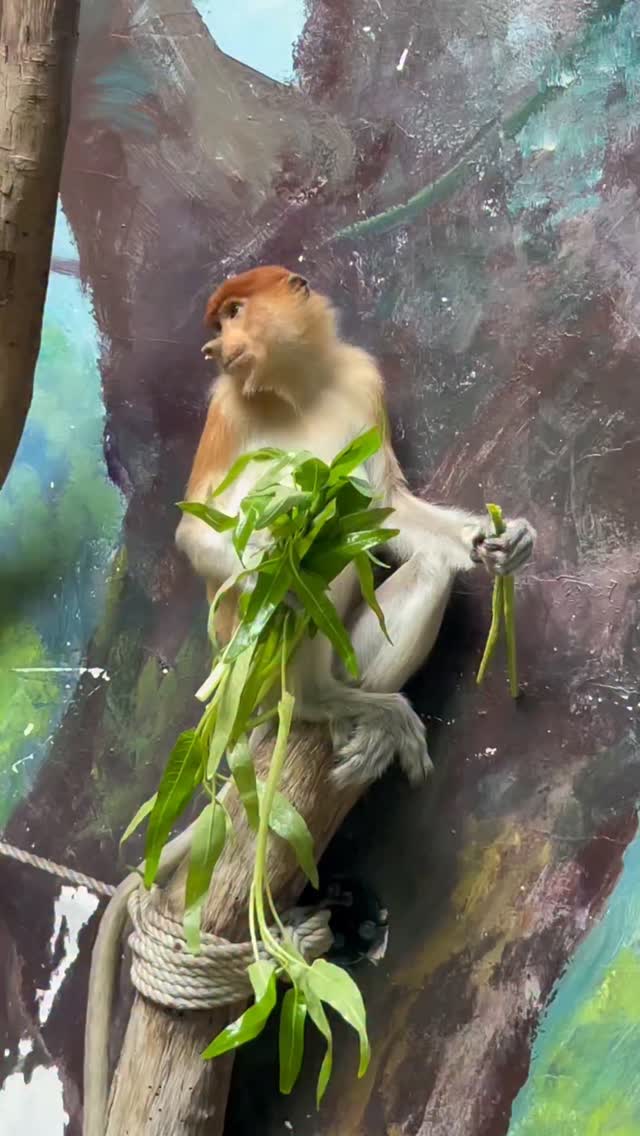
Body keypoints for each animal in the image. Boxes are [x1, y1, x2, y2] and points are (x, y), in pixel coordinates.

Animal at [83, 265, 535, 1136]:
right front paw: (283, 531)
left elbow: (387, 501)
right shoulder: (226, 409)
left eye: (233, 313)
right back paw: (326, 696)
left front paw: (500, 543)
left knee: (394, 550)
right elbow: (212, 533)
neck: (298, 386)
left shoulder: (362, 380)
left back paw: (367, 715)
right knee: (302, 579)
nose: (216, 347)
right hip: (248, 662)